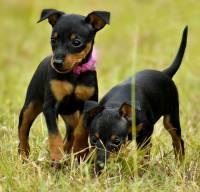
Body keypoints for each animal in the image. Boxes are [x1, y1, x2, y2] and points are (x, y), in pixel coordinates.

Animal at [18, 8, 110, 163]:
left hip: (70, 115)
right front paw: (57, 156)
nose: (57, 63)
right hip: (30, 106)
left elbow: (81, 130)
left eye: (76, 42)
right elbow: (54, 134)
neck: (74, 74)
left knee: (71, 133)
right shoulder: (50, 107)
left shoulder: (89, 105)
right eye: (53, 40)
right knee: (23, 131)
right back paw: (24, 155)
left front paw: (80, 150)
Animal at [83, 26, 188, 172]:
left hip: (171, 117)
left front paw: (142, 170)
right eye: (93, 139)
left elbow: (144, 154)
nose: (100, 166)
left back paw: (180, 165)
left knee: (178, 140)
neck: (114, 105)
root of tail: (165, 73)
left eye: (116, 141)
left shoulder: (145, 132)